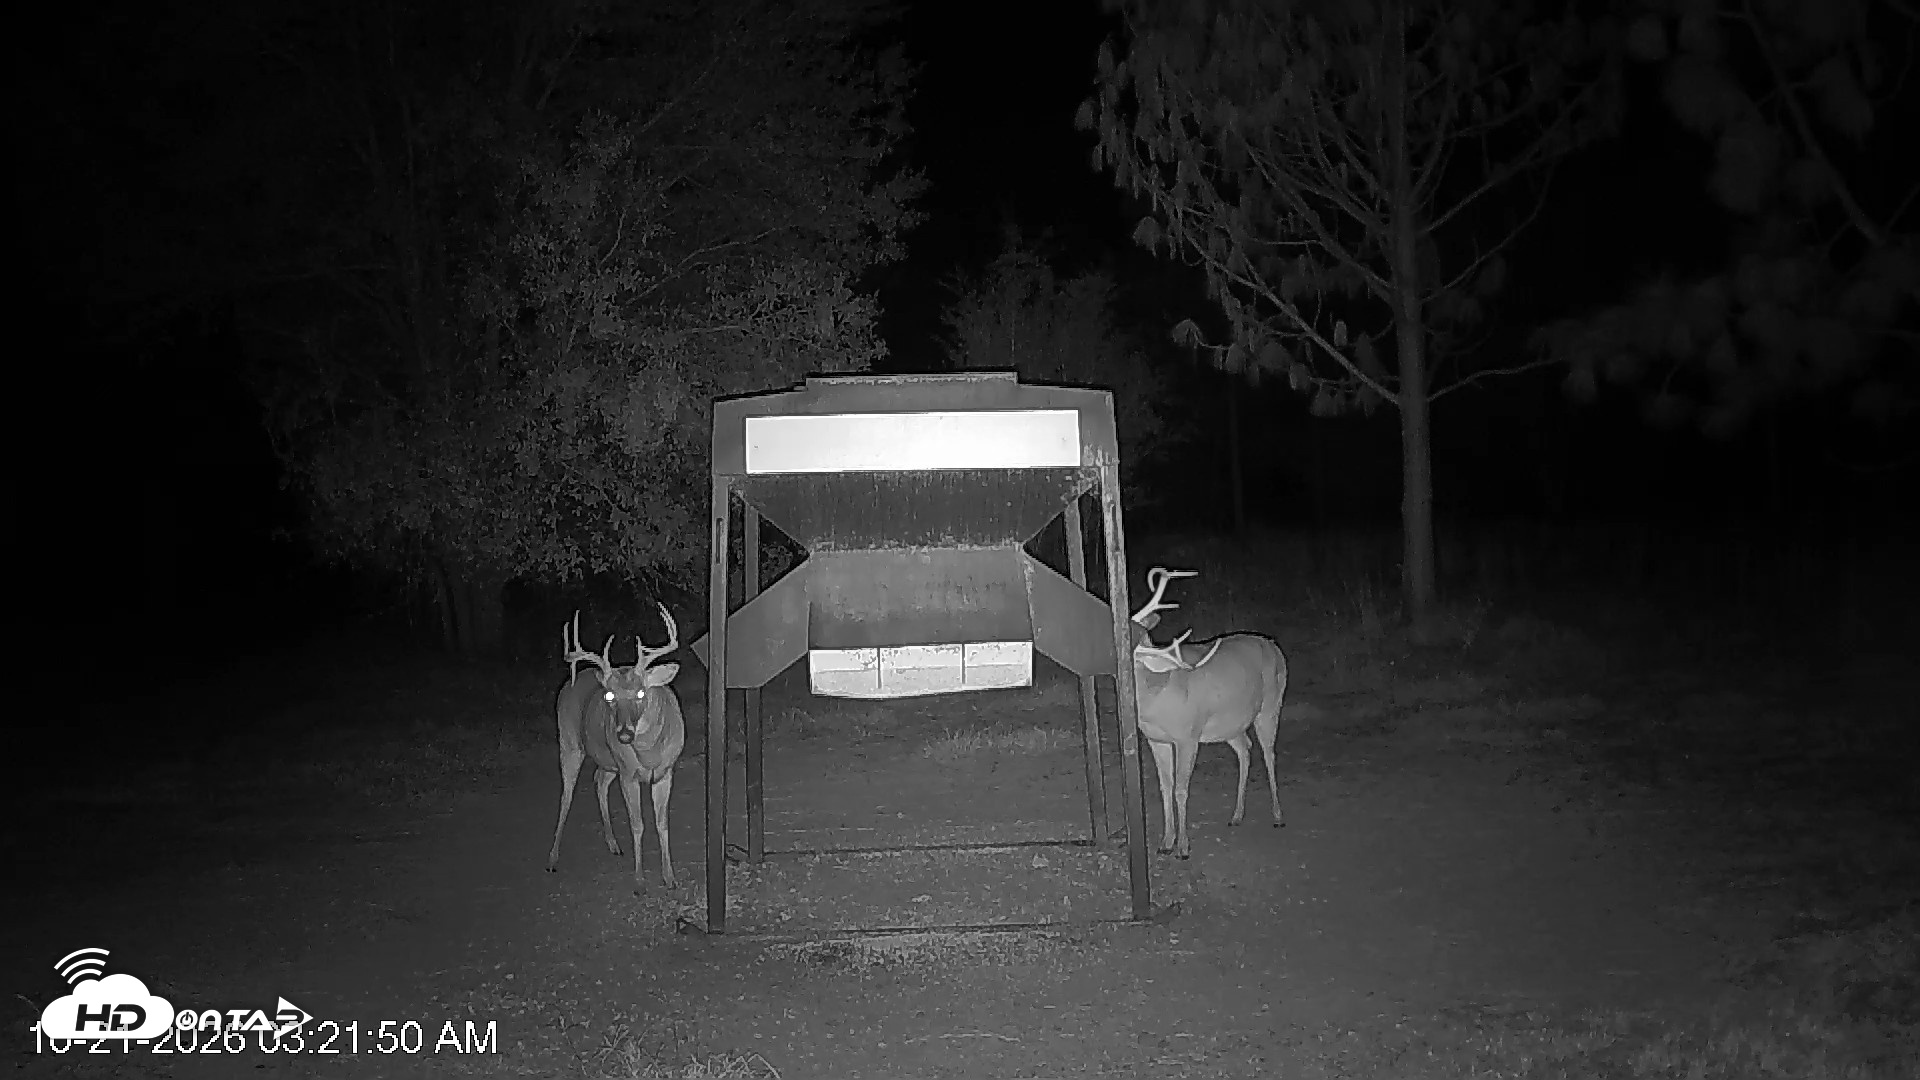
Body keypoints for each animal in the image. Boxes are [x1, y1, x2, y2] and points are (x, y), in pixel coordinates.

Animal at [545, 602, 686, 891]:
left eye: (641, 692)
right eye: (610, 695)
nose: (623, 735)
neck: (648, 754)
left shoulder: (665, 773)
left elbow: (662, 823)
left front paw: (670, 877)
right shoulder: (628, 774)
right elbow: (638, 824)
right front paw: (640, 882)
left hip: (609, 762)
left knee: (598, 780)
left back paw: (613, 844)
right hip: (570, 743)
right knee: (566, 796)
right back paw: (553, 859)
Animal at [1128, 566, 1288, 859]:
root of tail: (1273, 645)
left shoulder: (1188, 736)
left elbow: (1181, 789)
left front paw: (1183, 847)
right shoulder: (1155, 739)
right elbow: (1165, 787)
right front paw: (1165, 842)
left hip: (1271, 706)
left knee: (1269, 753)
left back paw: (1277, 816)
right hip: (1230, 724)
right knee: (1245, 749)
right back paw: (1236, 816)